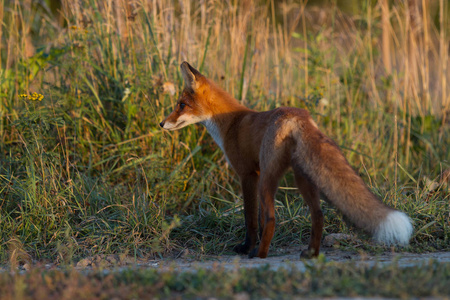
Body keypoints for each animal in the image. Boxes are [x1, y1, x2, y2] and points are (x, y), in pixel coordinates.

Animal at [160, 61, 414, 258]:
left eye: (181, 105)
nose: (161, 123)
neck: (231, 124)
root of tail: (299, 116)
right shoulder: (257, 174)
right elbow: (258, 218)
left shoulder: (248, 175)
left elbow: (251, 219)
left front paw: (246, 247)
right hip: (302, 178)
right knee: (318, 215)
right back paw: (311, 254)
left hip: (268, 179)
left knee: (272, 218)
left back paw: (259, 255)